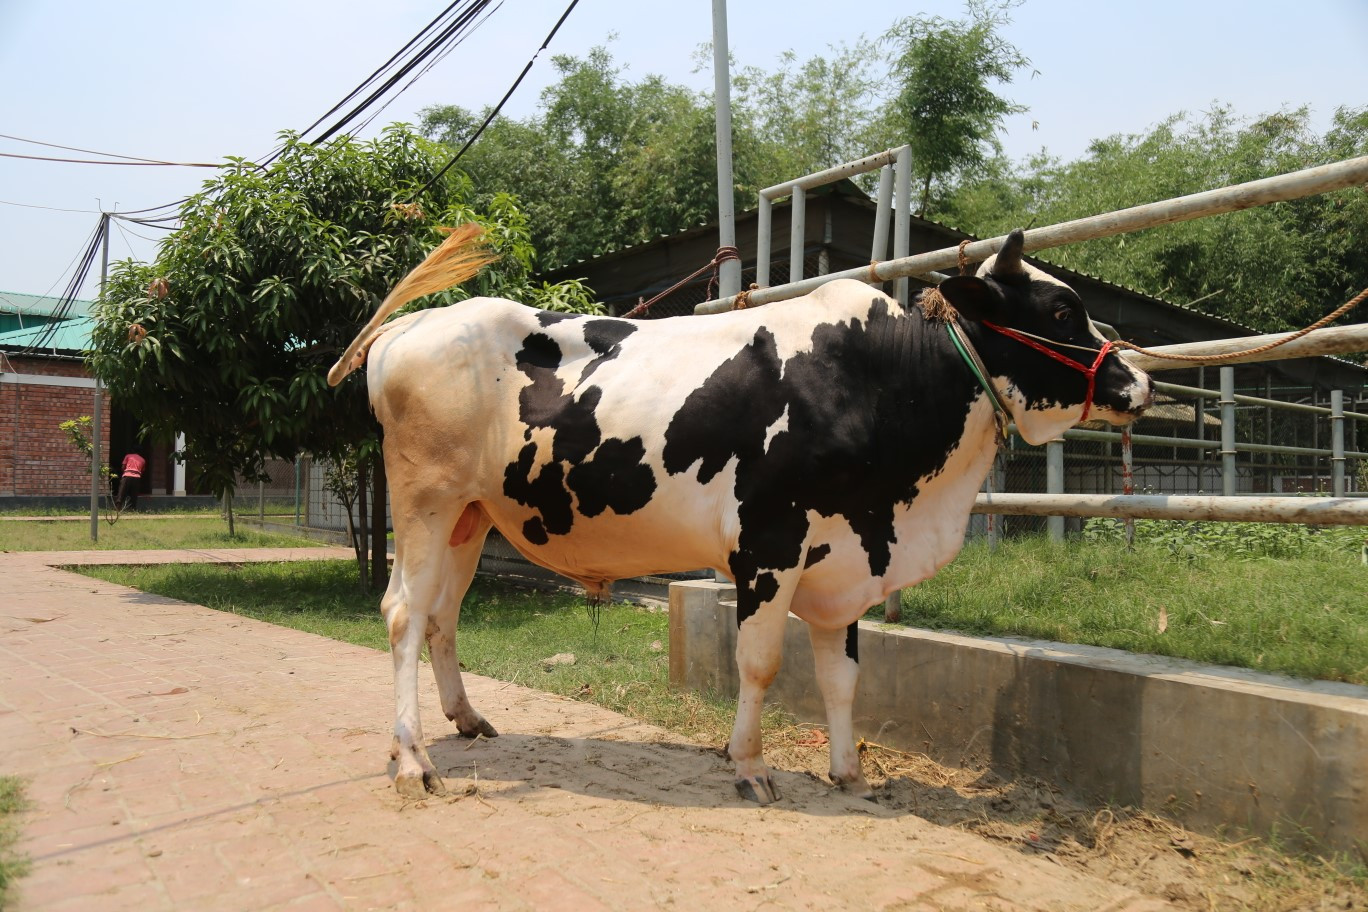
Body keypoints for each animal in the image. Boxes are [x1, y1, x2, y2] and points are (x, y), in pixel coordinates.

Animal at [328, 226, 1154, 804]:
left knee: (441, 615)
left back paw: (461, 722)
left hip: (469, 514)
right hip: (425, 501)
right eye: (1062, 309)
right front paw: (750, 766)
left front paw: (850, 772)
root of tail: (416, 325)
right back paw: (412, 760)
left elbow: (843, 676)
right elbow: (760, 663)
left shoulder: (843, 558)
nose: (1139, 379)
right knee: (402, 613)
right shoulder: (770, 545)